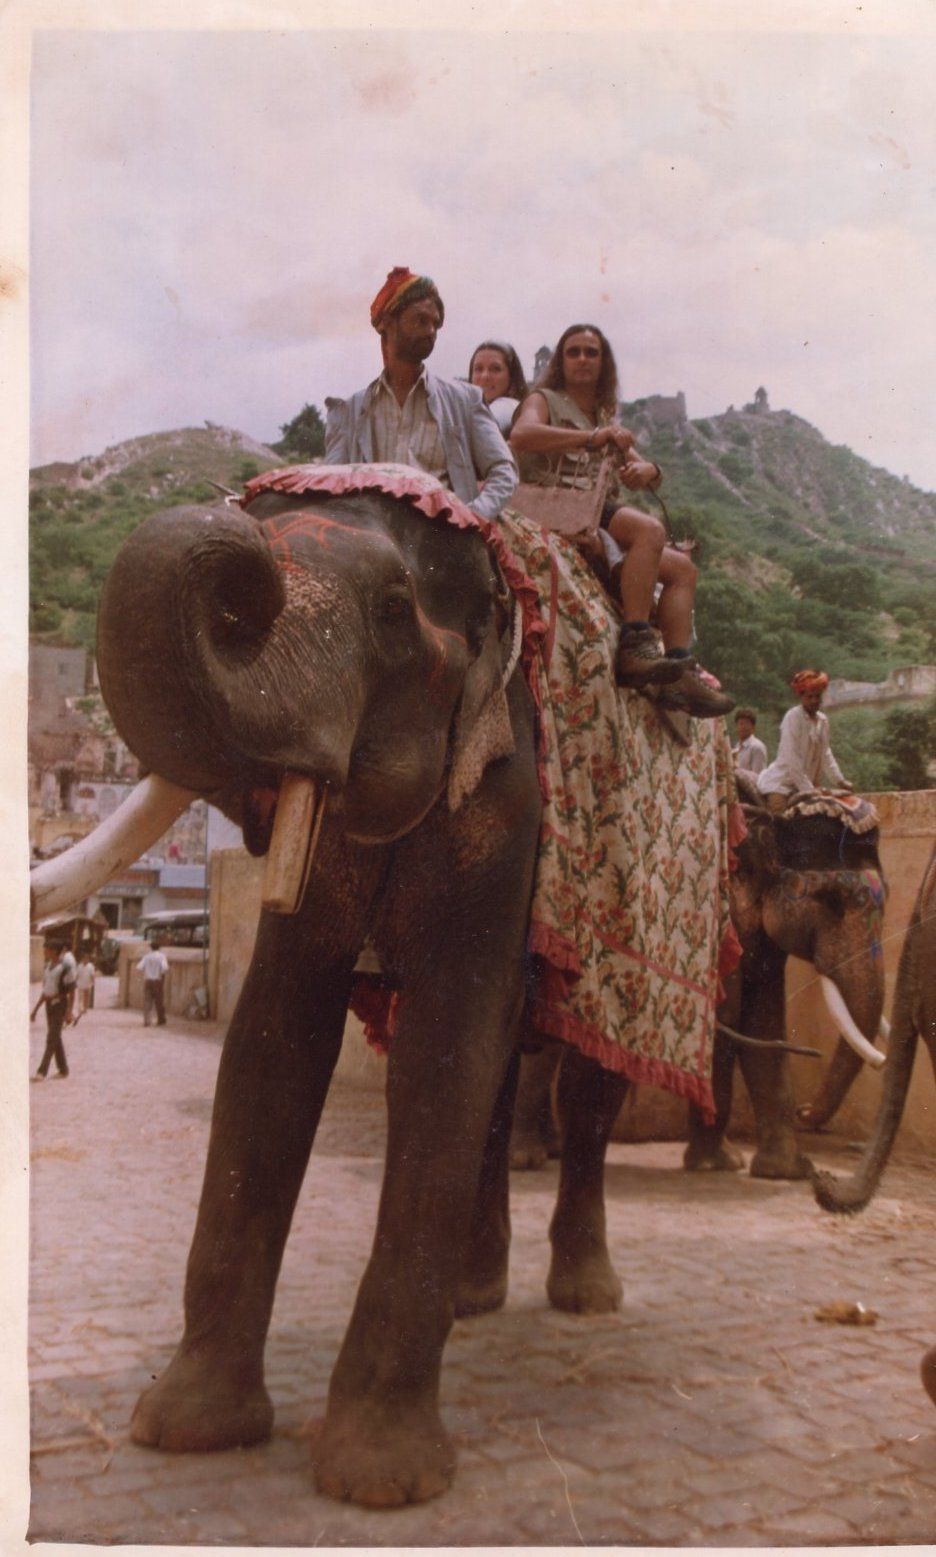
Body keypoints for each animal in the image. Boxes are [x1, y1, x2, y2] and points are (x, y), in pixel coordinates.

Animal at [32, 473, 646, 1508]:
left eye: (394, 610)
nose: (240, 558)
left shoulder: (509, 797)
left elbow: (446, 1042)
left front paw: (381, 1480)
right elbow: (273, 1035)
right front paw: (188, 1430)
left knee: (596, 1080)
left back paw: (587, 1298)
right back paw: (474, 1299)